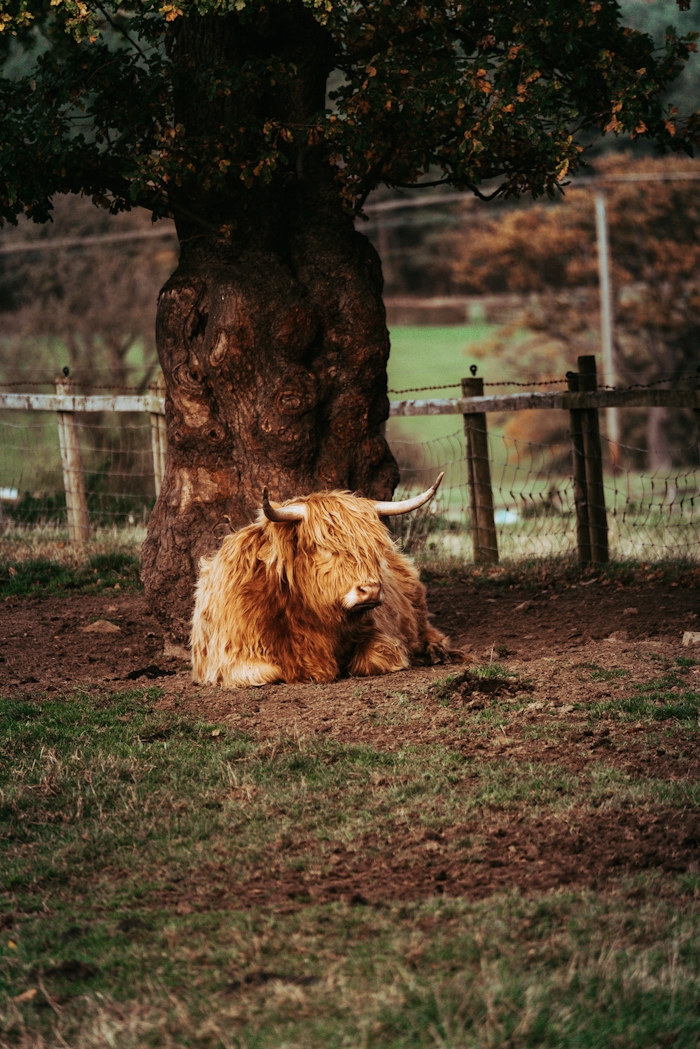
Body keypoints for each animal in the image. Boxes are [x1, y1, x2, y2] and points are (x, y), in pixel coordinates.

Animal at [191, 473, 460, 688]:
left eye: (373, 548)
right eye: (324, 548)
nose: (371, 590)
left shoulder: (383, 635)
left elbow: (372, 659)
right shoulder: (231, 659)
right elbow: (270, 672)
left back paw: (436, 652)